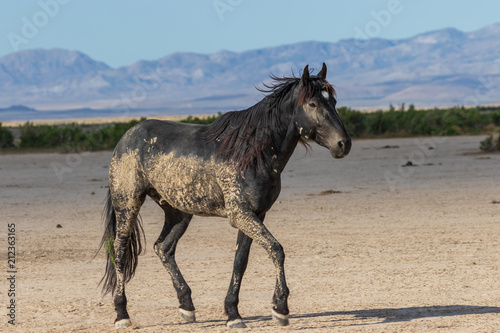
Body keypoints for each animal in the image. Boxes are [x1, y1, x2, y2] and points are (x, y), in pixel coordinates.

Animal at [98, 63, 352, 328]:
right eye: (312, 103)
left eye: (333, 101)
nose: (343, 144)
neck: (253, 153)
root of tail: (126, 138)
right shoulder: (240, 214)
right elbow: (276, 249)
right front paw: (280, 308)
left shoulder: (256, 214)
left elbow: (240, 261)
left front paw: (233, 313)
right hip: (128, 204)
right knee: (119, 251)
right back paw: (122, 314)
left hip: (178, 211)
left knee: (163, 248)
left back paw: (186, 306)